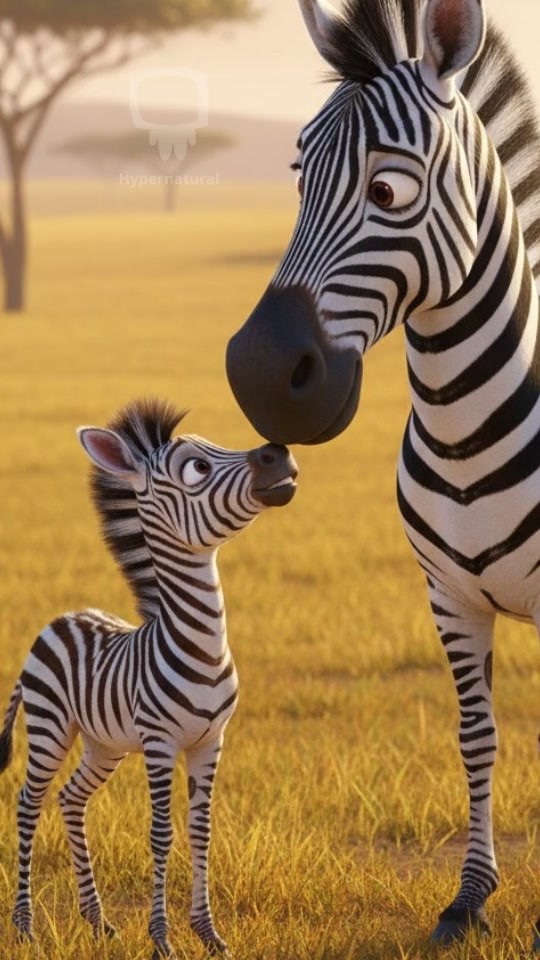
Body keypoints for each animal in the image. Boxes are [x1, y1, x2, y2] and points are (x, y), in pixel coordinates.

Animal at [0, 398, 298, 960]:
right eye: (196, 468)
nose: (278, 452)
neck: (201, 645)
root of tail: (60, 619)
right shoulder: (160, 743)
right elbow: (161, 833)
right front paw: (162, 938)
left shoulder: (210, 741)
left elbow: (201, 831)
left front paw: (209, 934)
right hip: (50, 727)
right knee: (29, 803)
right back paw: (24, 925)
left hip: (105, 743)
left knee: (71, 798)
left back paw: (98, 921)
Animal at [226, 0, 540, 949]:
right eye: (297, 179)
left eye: (389, 191)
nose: (257, 373)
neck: (467, 428)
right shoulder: (448, 595)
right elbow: (477, 737)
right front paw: (470, 900)